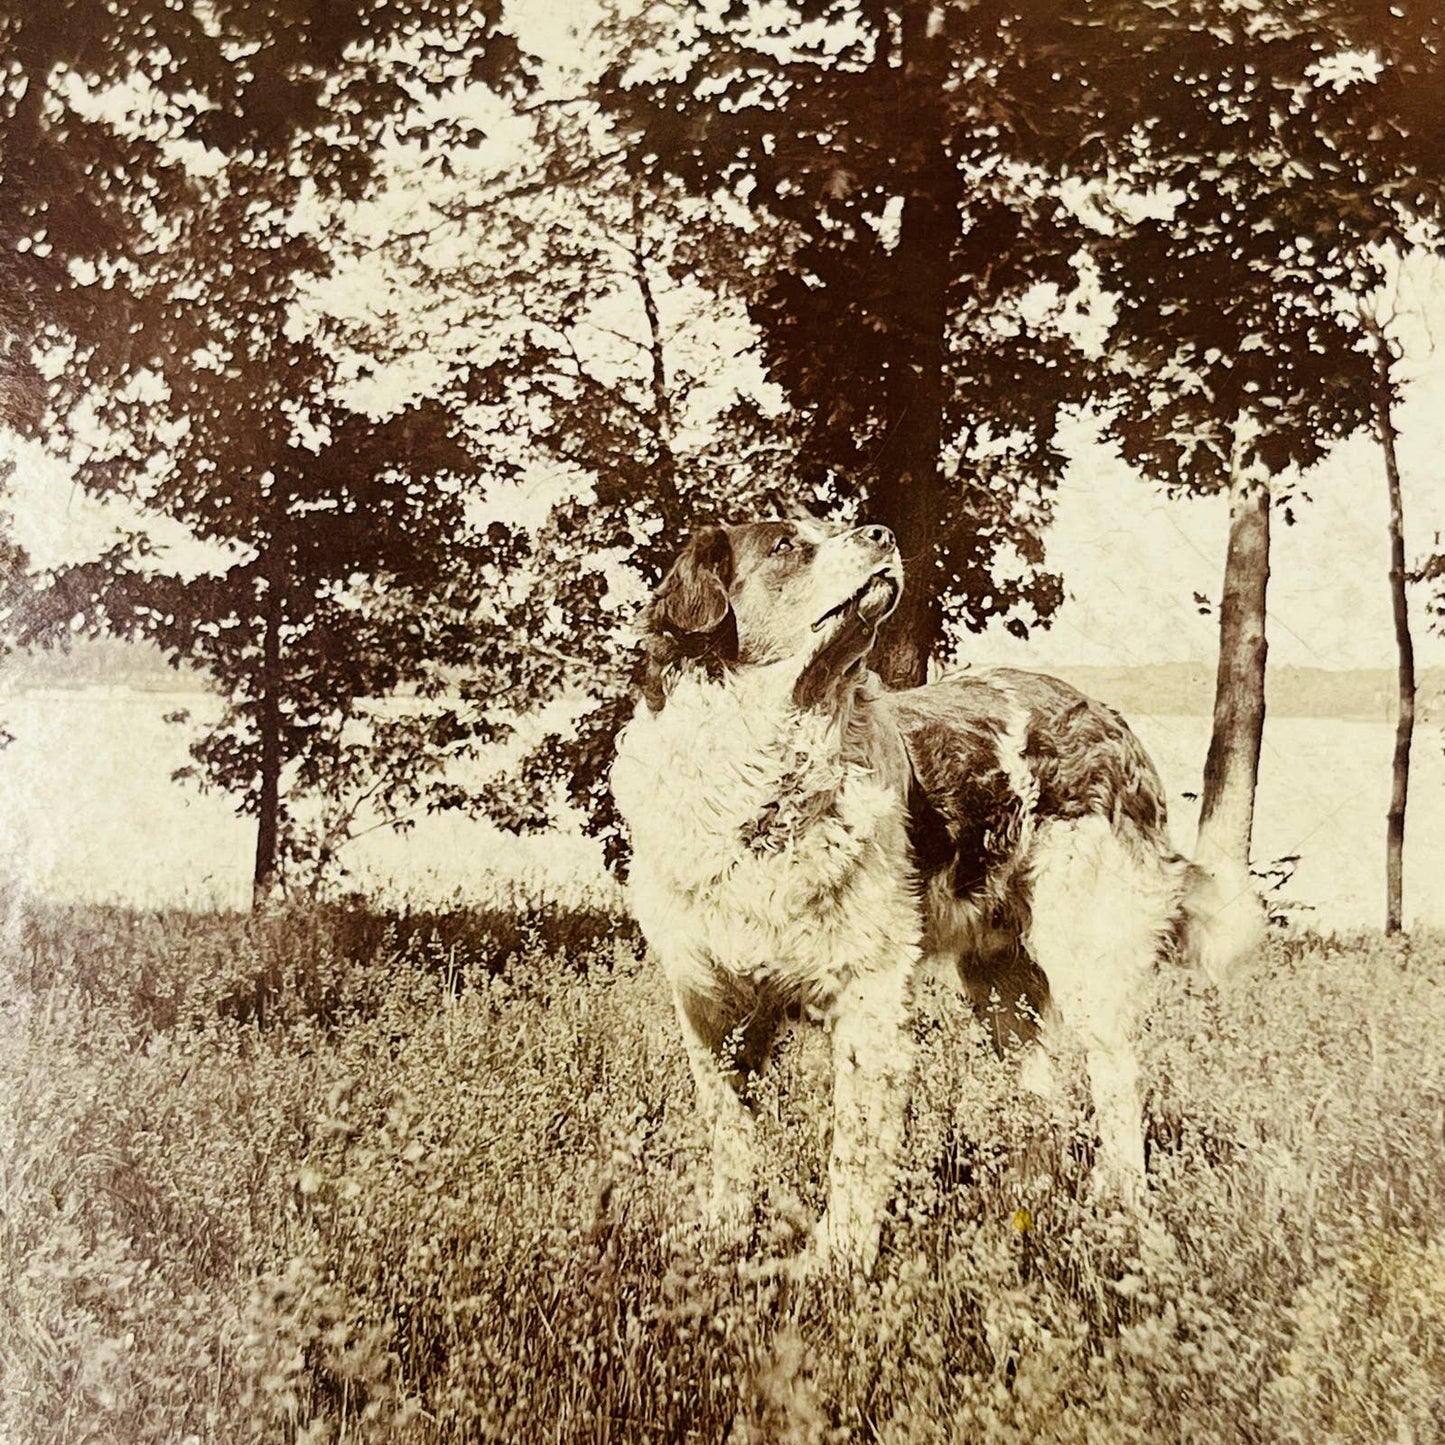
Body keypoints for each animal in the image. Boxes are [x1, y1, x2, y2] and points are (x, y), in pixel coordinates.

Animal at [604, 520, 1260, 1277]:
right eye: (786, 546)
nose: (881, 531)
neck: (765, 784)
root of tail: (1107, 714)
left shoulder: (868, 997)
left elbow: (854, 1147)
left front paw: (837, 1258)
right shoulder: (708, 1000)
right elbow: (728, 1130)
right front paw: (721, 1234)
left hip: (1087, 954)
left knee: (1115, 1083)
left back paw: (1120, 1211)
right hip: (1002, 984)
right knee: (1039, 1092)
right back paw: (1022, 1204)